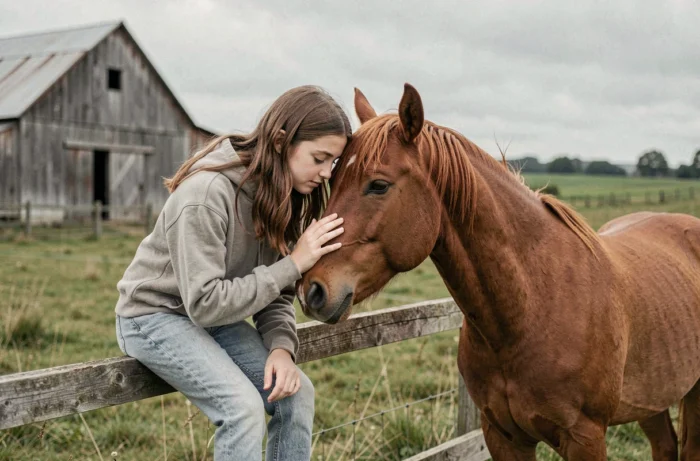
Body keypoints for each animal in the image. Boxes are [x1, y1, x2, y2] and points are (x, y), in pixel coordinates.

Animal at [297, 83, 700, 460]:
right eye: (332, 179)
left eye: (378, 185)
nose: (312, 290)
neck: (532, 307)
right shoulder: (502, 435)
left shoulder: (585, 438)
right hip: (653, 396)